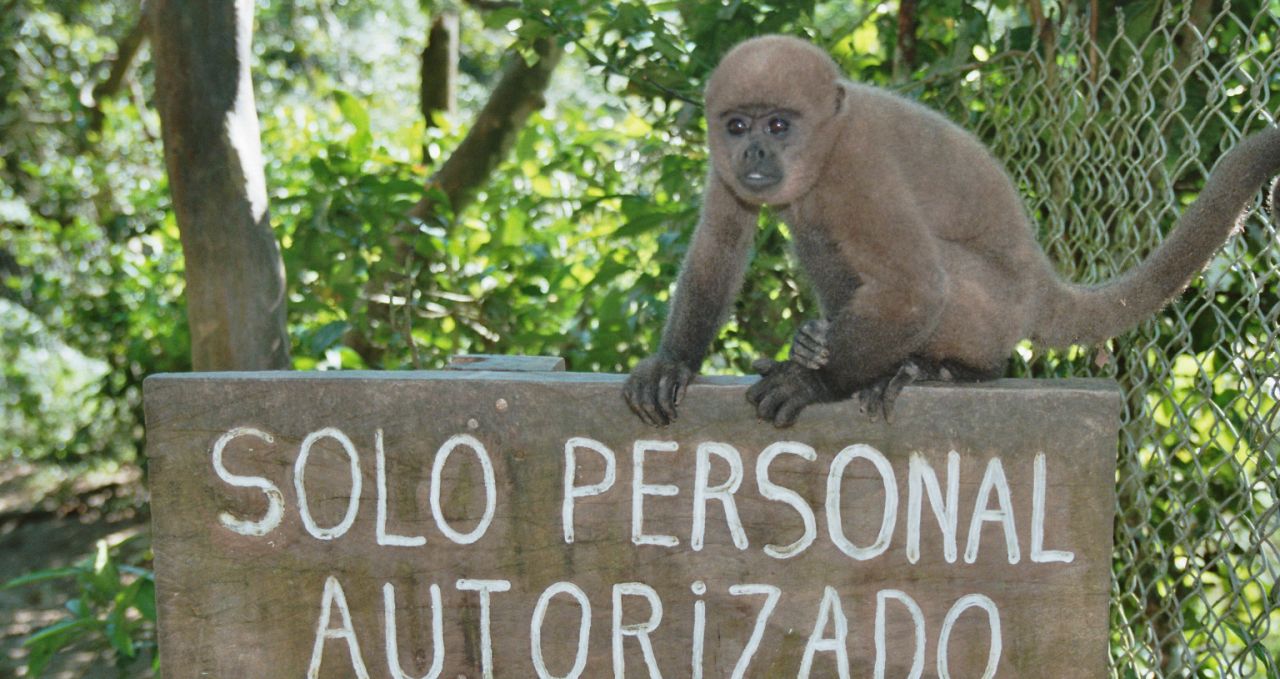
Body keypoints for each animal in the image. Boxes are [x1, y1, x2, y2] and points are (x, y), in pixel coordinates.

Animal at [624, 34, 1280, 425]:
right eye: (736, 125)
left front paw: (814, 383)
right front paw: (673, 364)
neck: (825, 144)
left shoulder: (860, 168)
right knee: (815, 234)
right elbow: (720, 248)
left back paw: (946, 370)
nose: (754, 152)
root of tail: (1041, 282)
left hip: (998, 305)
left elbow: (918, 285)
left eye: (779, 125)